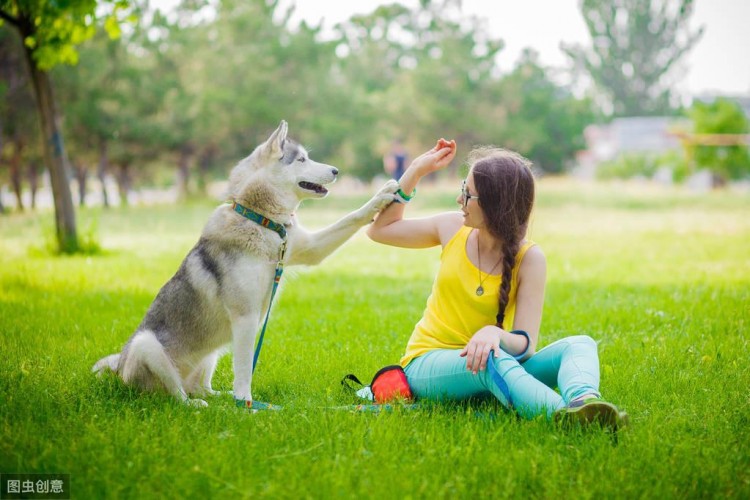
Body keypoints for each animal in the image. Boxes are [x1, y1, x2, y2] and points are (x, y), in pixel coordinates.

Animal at [94, 121, 400, 406]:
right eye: (301, 159)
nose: (336, 170)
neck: (260, 220)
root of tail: (118, 371)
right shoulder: (246, 318)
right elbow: (244, 369)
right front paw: (246, 403)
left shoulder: (310, 248)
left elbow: (351, 217)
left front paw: (382, 195)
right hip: (147, 345)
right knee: (176, 395)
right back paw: (199, 405)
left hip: (211, 353)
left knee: (201, 386)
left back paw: (219, 398)